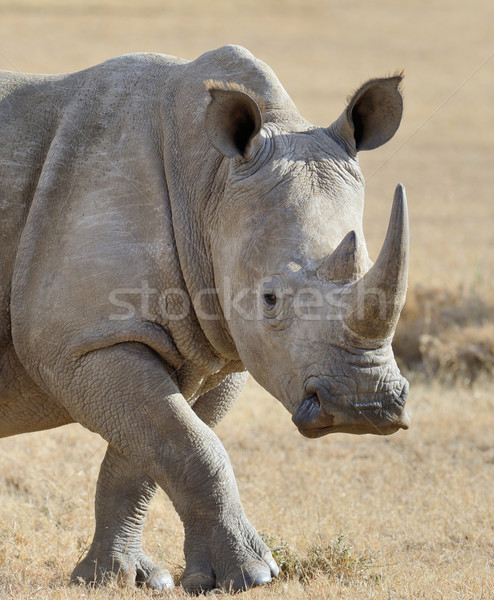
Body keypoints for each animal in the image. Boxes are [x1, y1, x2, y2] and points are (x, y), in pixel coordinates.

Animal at [0, 45, 410, 592]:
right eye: (270, 299)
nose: (364, 408)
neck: (208, 184)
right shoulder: (83, 342)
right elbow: (192, 446)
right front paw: (252, 576)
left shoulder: (215, 348)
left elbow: (151, 453)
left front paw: (120, 579)